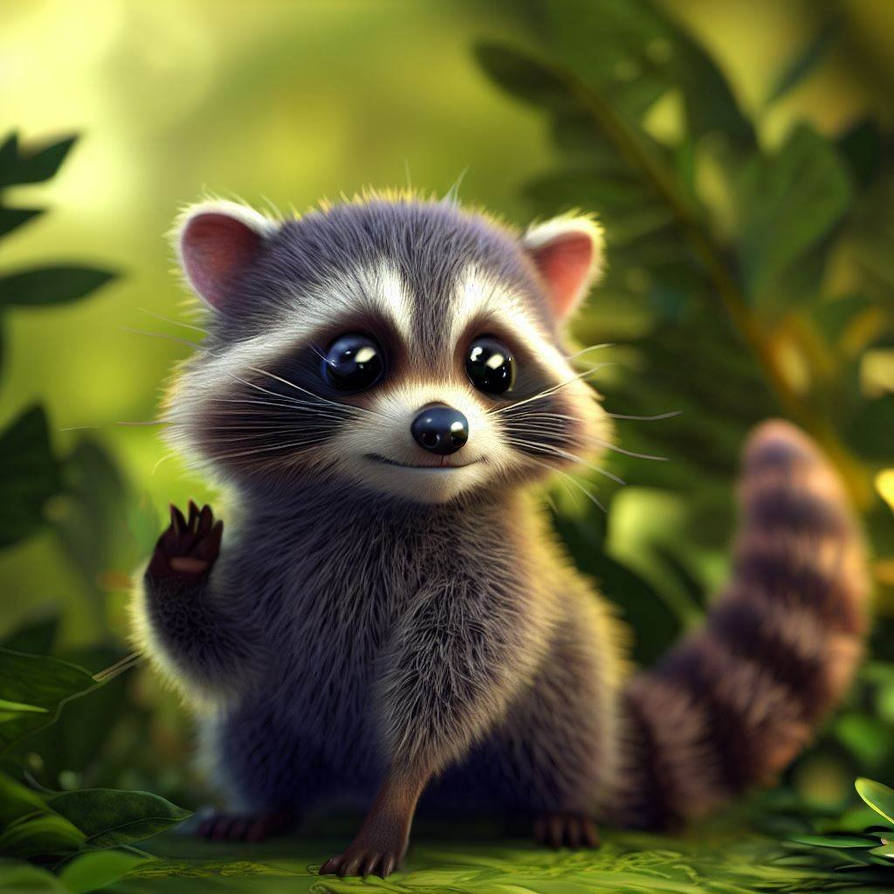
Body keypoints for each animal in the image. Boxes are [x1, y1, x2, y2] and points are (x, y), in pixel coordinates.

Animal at [131, 193, 869, 878]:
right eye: (354, 359)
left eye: (491, 365)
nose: (441, 429)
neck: (389, 501)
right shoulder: (266, 554)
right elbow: (227, 656)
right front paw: (178, 572)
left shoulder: (496, 569)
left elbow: (465, 676)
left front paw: (399, 790)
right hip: (279, 724)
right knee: (252, 729)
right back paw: (268, 806)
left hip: (570, 693)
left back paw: (558, 805)